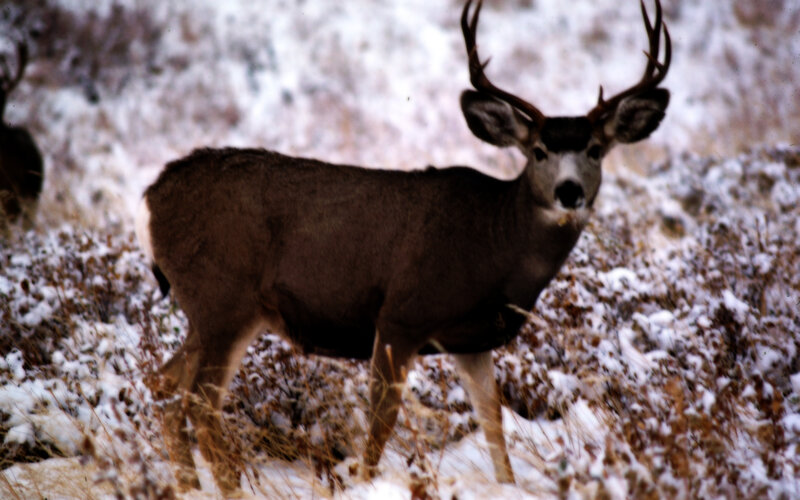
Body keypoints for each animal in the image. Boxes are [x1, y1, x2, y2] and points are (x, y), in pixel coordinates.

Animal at [135, 0, 670, 493]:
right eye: (539, 151)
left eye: (595, 150)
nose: (569, 192)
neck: (496, 244)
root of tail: (151, 198)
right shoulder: (401, 315)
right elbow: (380, 424)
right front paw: (367, 484)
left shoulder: (471, 340)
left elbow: (494, 425)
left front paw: (507, 485)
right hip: (224, 300)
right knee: (200, 405)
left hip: (211, 312)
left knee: (164, 386)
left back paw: (186, 486)